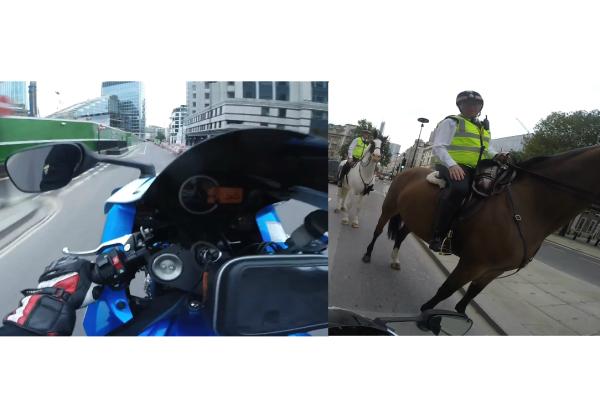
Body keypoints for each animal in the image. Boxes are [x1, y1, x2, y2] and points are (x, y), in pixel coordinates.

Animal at [360, 145, 600, 314]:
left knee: (400, 236)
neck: (529, 205)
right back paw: (367, 254)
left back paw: (394, 260)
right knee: (378, 231)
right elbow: (445, 290)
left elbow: (466, 300)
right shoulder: (472, 264)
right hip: (389, 207)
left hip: (413, 219)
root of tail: (408, 169)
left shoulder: (493, 270)